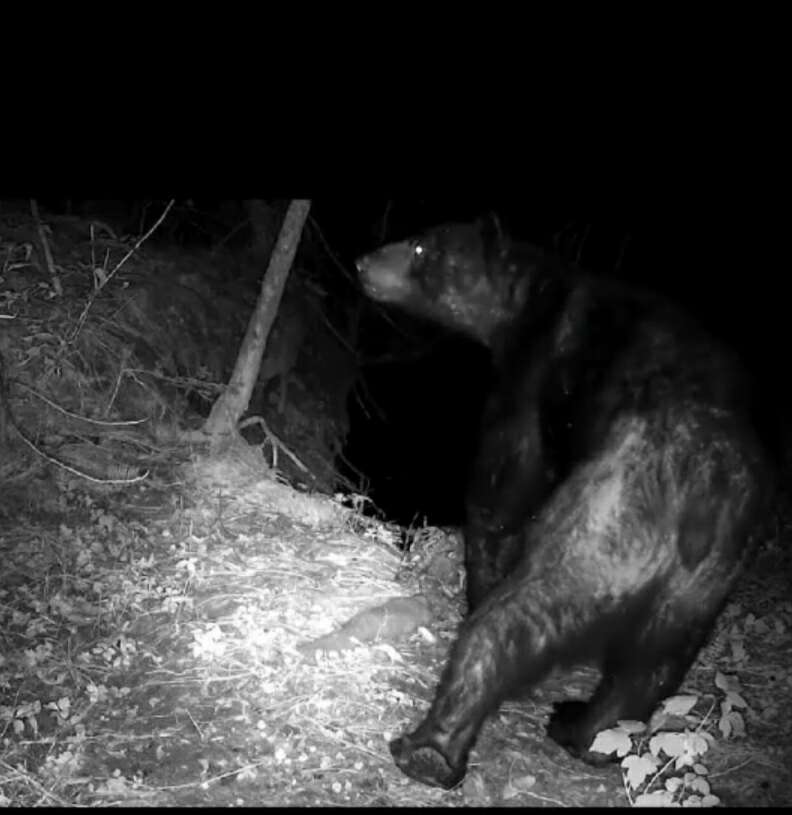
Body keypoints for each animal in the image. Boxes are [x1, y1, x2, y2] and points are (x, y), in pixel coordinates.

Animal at [354, 218, 772, 792]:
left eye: (421, 247)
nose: (363, 263)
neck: (529, 304)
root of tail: (708, 489)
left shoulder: (530, 382)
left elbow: (501, 493)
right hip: (707, 580)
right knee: (655, 659)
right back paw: (584, 731)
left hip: (604, 521)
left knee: (519, 611)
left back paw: (429, 747)